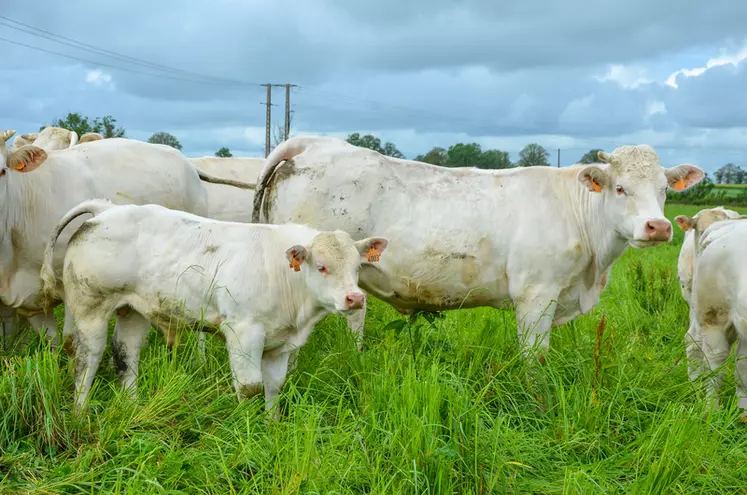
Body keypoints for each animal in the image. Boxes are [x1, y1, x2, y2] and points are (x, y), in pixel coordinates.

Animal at [0, 130, 254, 350]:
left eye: (2, 171)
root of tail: (188, 164)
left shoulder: (70, 286)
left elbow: (70, 341)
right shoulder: (24, 300)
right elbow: (45, 342)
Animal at [39, 199, 392, 414]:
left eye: (358, 268)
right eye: (321, 266)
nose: (355, 298)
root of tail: (106, 208)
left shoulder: (280, 343)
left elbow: (274, 386)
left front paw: (272, 425)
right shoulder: (244, 332)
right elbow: (250, 387)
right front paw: (246, 430)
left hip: (133, 310)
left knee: (126, 354)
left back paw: (133, 406)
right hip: (90, 309)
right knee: (87, 358)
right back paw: (80, 413)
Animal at [254, 136, 704, 360]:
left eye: (664, 190)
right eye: (620, 187)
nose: (658, 227)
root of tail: (319, 143)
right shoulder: (536, 294)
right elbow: (535, 358)